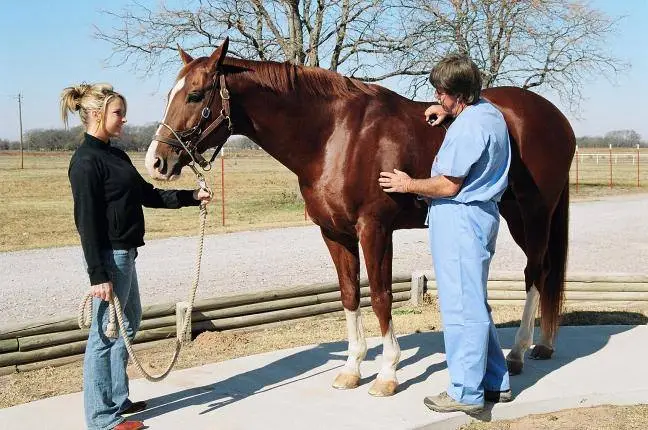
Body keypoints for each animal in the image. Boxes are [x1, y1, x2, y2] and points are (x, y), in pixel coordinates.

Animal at [146, 40, 572, 396]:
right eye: (169, 95)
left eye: (195, 95)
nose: (156, 162)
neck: (334, 136)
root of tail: (556, 118)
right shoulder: (334, 233)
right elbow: (350, 295)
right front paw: (351, 370)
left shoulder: (375, 229)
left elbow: (381, 297)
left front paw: (387, 374)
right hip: (515, 215)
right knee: (545, 272)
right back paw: (543, 344)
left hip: (534, 215)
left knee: (536, 272)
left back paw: (518, 352)